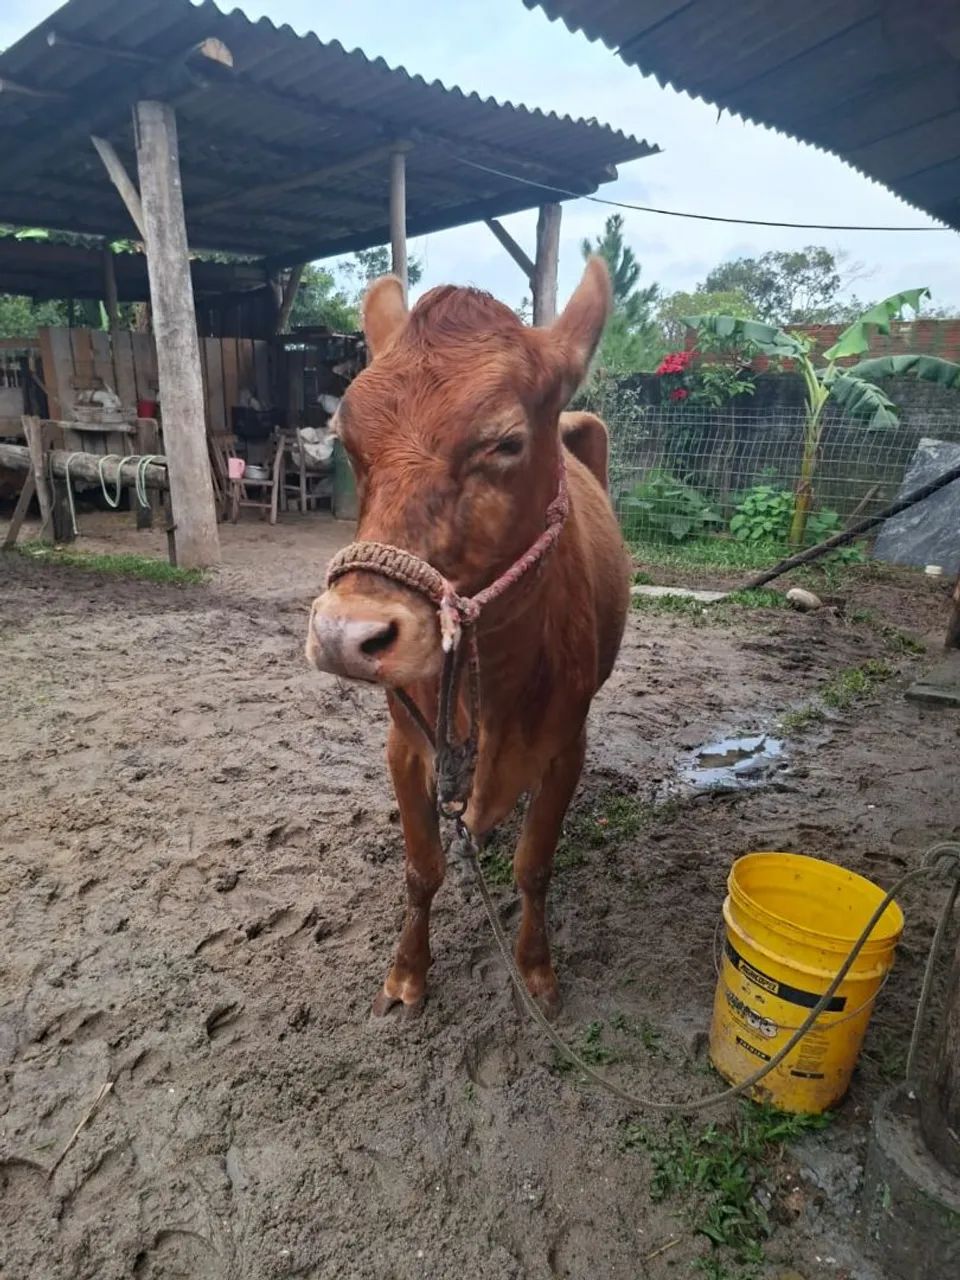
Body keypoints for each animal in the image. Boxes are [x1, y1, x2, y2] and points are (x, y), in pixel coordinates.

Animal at [306, 256, 630, 1018]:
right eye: (349, 443)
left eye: (506, 442)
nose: (344, 633)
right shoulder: (404, 745)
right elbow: (421, 869)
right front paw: (407, 973)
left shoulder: (567, 744)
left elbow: (535, 866)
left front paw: (535, 967)